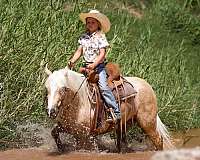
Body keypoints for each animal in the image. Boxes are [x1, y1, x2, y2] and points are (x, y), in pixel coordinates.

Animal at [44, 65, 173, 152]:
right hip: (124, 124)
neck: (79, 101)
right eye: (47, 88)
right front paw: (61, 149)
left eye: (63, 89)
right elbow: (54, 132)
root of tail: (148, 86)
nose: (51, 111)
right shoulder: (70, 128)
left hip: (147, 123)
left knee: (158, 140)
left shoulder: (86, 134)